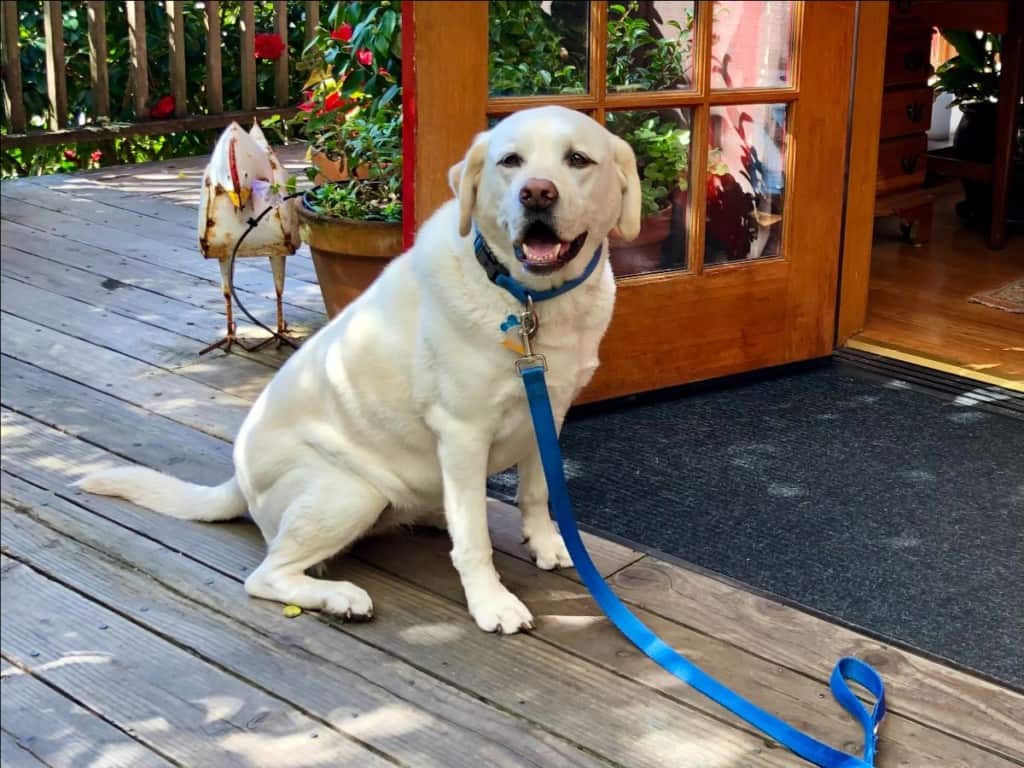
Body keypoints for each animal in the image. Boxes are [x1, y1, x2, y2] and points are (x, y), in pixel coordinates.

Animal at [79, 108, 638, 638]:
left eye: (577, 160)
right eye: (511, 161)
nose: (537, 193)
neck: (527, 301)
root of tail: (238, 480)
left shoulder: (550, 408)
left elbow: (539, 489)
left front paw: (546, 543)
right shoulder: (463, 430)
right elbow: (475, 539)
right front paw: (491, 603)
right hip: (350, 492)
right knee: (266, 574)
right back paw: (341, 596)